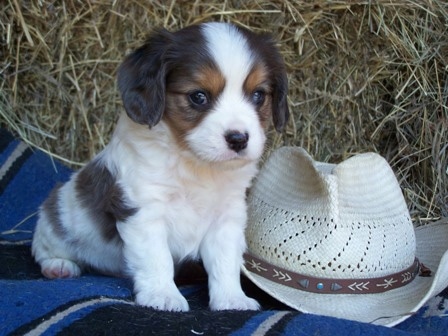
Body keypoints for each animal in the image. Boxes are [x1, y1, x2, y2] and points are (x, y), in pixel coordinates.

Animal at [32, 22, 290, 312]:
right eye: (198, 96)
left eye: (258, 95)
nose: (238, 139)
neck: (195, 162)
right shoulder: (144, 212)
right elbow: (157, 259)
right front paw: (163, 295)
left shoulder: (227, 217)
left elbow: (225, 262)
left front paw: (231, 299)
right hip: (55, 218)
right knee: (44, 247)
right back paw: (59, 266)